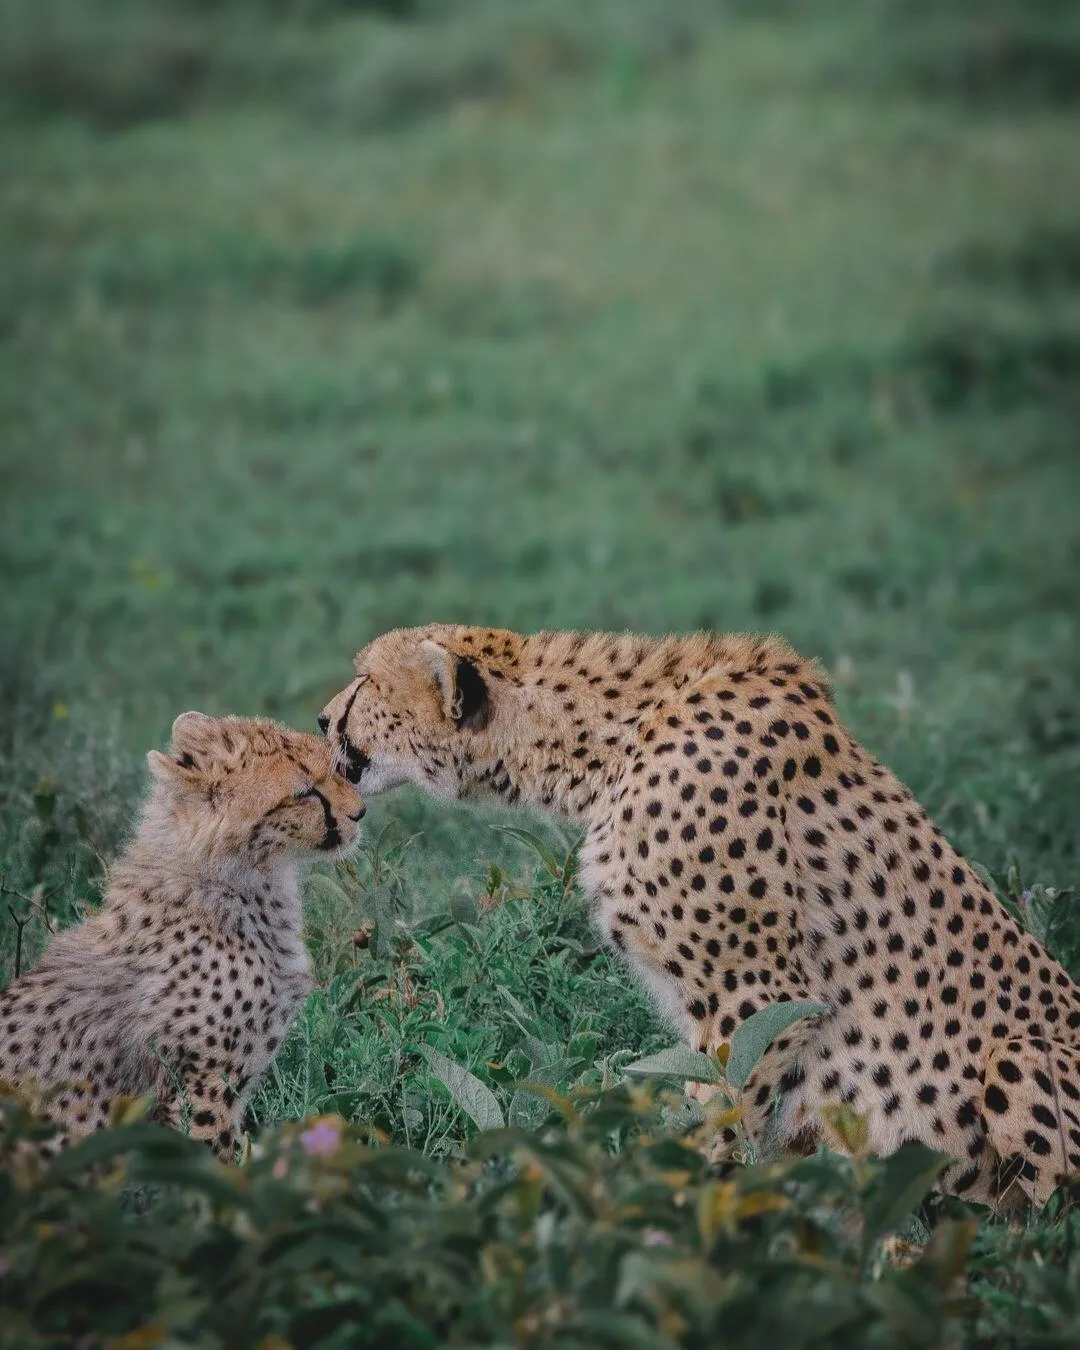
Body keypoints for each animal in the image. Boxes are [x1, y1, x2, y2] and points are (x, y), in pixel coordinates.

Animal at [319, 623, 1080, 1209]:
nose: (323, 719)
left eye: (364, 682)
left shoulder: (759, 995)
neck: (609, 741)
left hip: (1018, 1057)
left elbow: (717, 1118)